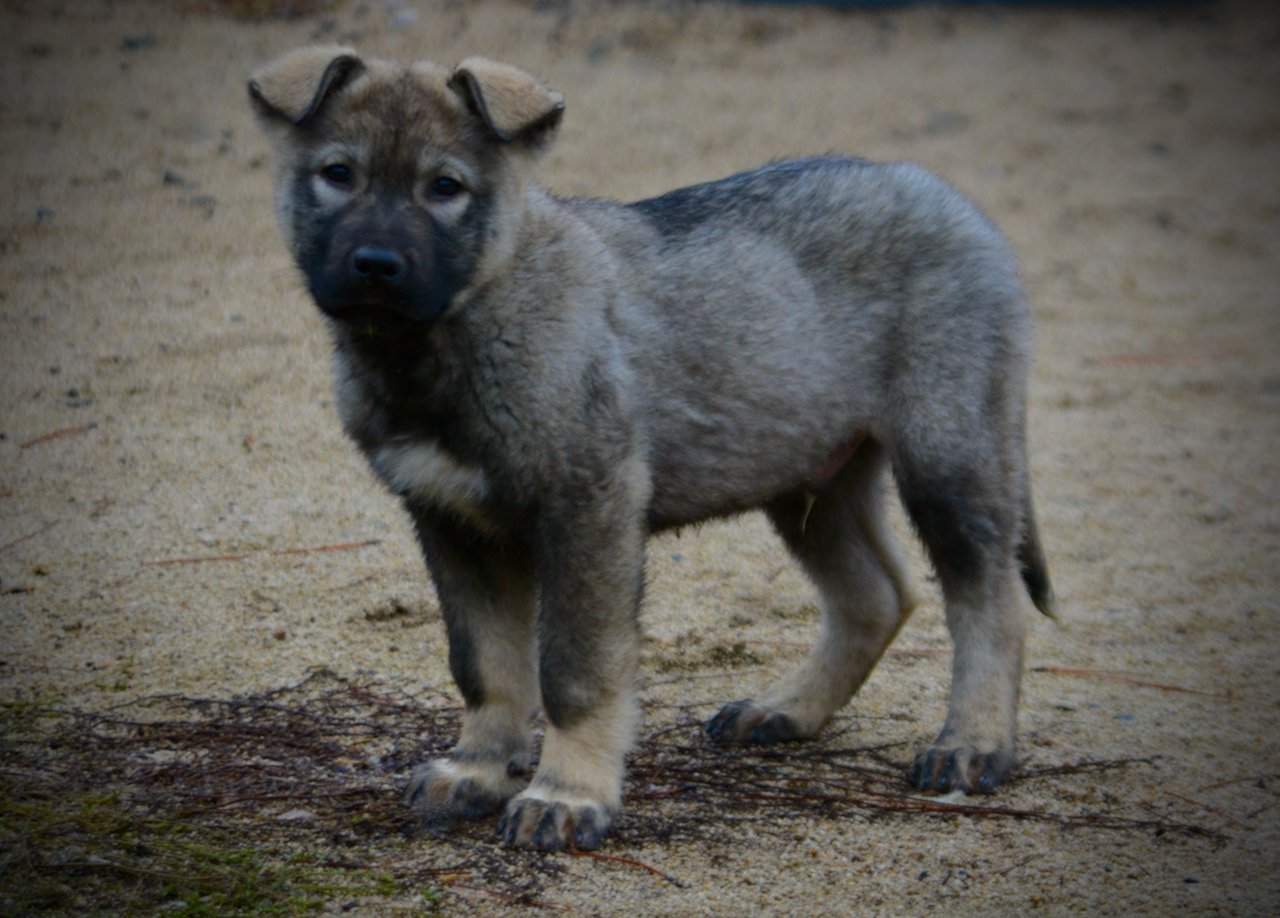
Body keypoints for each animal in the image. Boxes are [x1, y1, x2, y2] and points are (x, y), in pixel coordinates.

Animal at [247, 48, 1049, 850]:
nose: (375, 264)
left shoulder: (587, 508)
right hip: (809, 478)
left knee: (990, 600)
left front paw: (568, 793)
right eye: (337, 174)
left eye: (445, 188)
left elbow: (573, 672)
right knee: (876, 595)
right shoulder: (450, 522)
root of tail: (945, 196)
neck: (465, 324)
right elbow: (483, 665)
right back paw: (788, 708)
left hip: (948, 456)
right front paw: (478, 769)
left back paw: (972, 743)